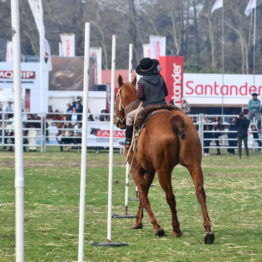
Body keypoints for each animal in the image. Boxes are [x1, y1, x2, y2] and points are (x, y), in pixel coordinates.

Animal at [114, 74, 215, 245]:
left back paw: (176, 229)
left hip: (163, 171)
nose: (117, 121)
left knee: (170, 197)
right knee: (200, 192)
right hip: (194, 165)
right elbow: (144, 192)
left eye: (116, 96)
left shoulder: (136, 168)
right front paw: (138, 222)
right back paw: (208, 231)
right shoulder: (150, 170)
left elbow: (143, 194)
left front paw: (156, 226)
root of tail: (176, 120)